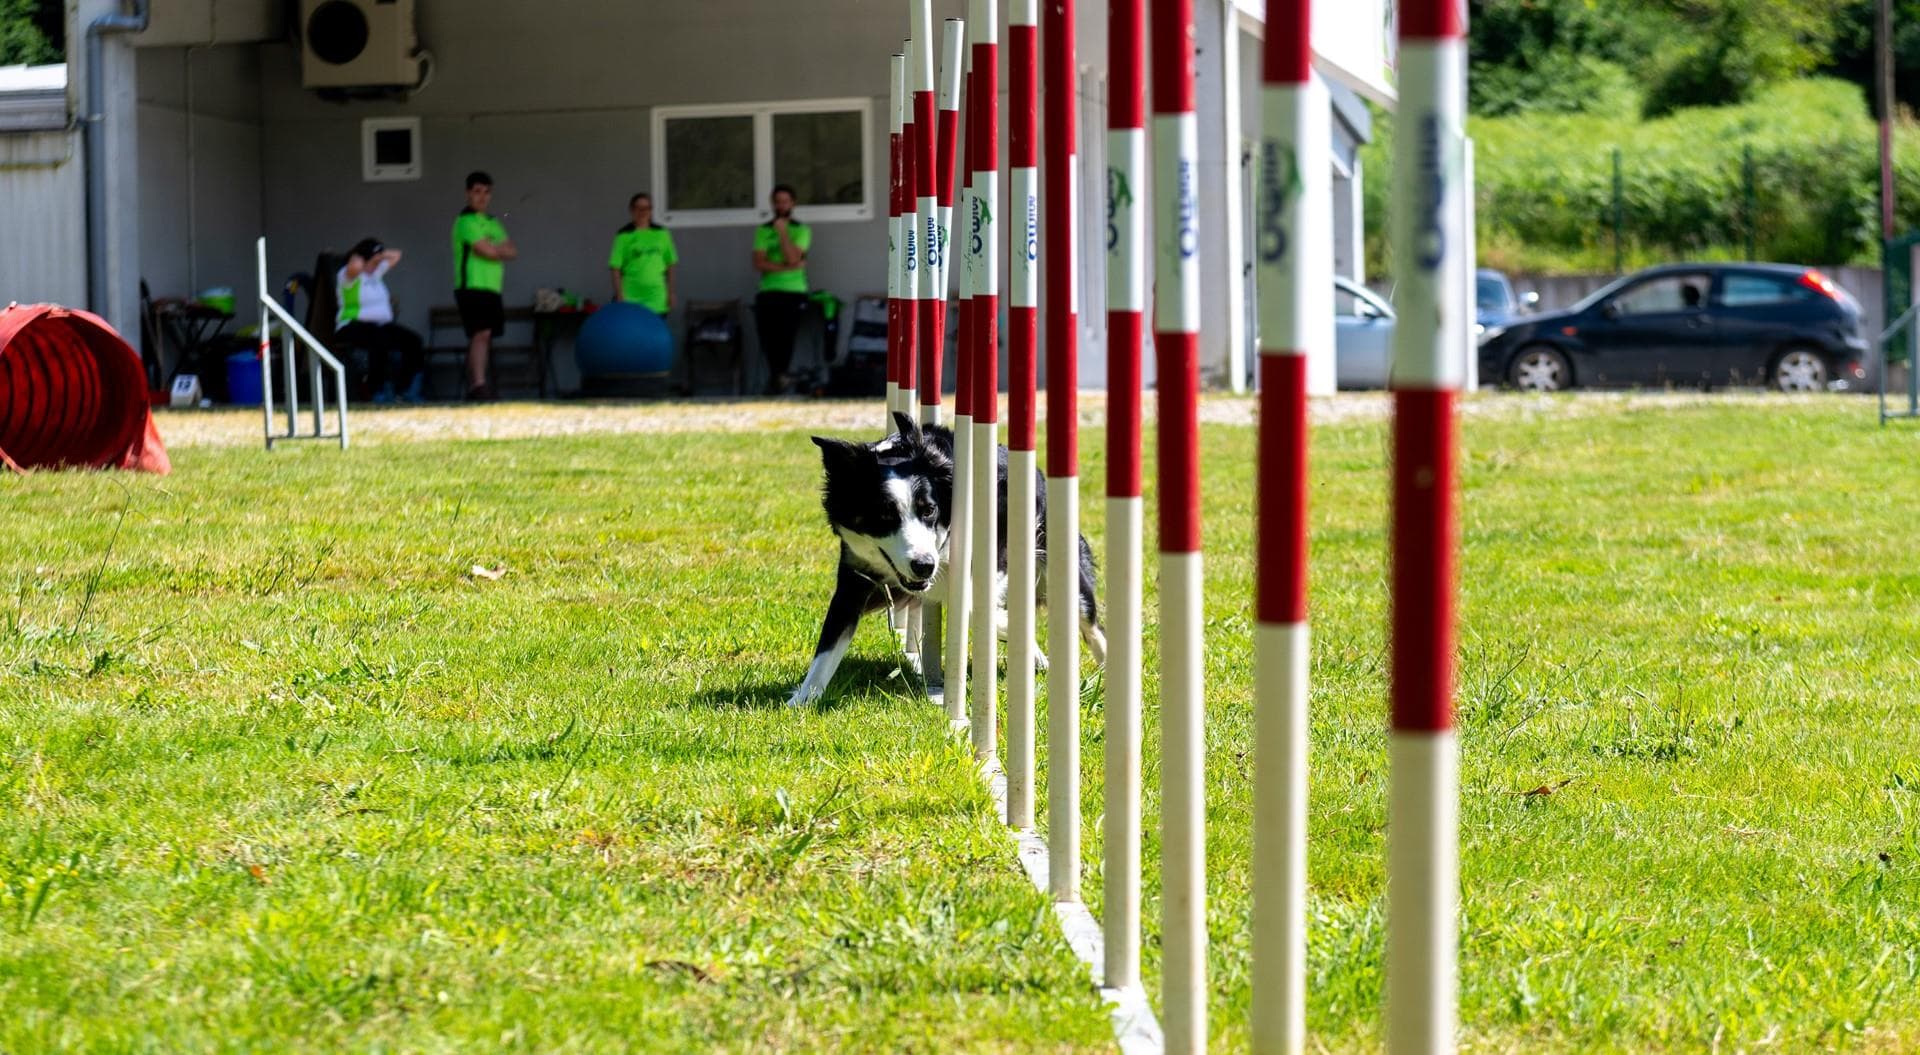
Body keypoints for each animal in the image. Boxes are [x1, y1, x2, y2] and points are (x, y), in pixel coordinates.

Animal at [787, 411, 1105, 707]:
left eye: (929, 510)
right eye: (884, 516)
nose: (924, 566)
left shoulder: (996, 549)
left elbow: (976, 606)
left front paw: (1002, 622)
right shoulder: (854, 576)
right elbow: (828, 646)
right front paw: (802, 700)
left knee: (1093, 627)